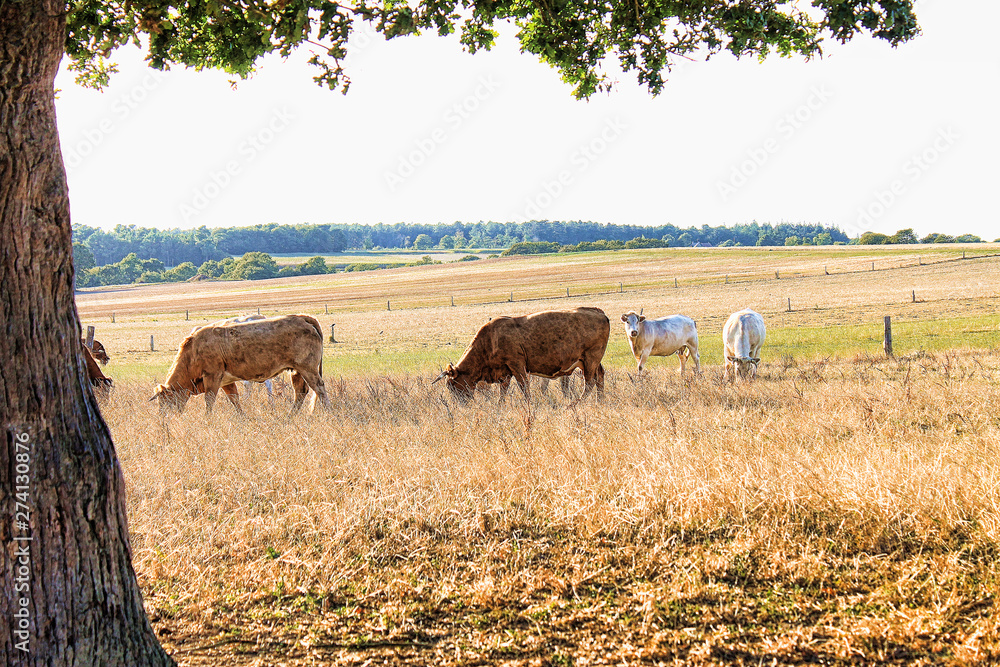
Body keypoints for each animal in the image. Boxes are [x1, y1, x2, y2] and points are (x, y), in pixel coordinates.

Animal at [151, 313, 330, 414]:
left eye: (164, 402)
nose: (164, 418)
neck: (193, 351)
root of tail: (301, 317)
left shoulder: (212, 376)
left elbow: (209, 401)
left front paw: (208, 420)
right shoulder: (226, 381)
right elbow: (234, 400)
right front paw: (242, 419)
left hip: (308, 369)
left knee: (319, 389)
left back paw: (330, 413)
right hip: (296, 371)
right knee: (300, 392)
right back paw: (289, 417)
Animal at [434, 307, 610, 404]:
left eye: (451, 384)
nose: (459, 404)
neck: (491, 339)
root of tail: (599, 312)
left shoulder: (517, 365)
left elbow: (525, 388)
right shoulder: (505, 372)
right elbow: (503, 393)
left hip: (590, 360)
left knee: (590, 383)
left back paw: (574, 404)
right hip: (589, 362)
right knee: (599, 378)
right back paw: (600, 401)